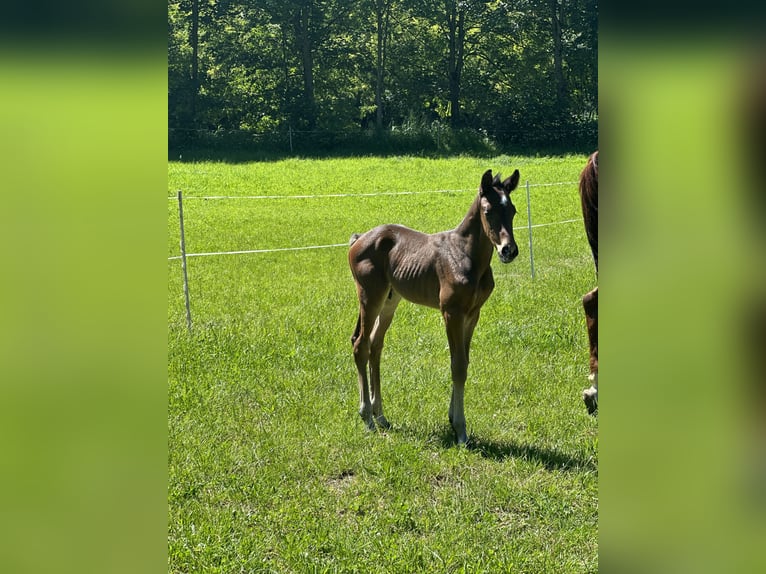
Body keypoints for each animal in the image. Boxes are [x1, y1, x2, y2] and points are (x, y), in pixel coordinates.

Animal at [348, 169, 520, 445]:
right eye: (487, 211)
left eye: (512, 210)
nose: (508, 250)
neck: (466, 256)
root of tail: (358, 239)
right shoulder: (451, 313)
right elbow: (457, 366)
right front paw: (460, 430)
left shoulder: (472, 314)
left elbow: (464, 362)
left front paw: (453, 419)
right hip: (369, 297)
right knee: (360, 345)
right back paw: (367, 417)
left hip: (389, 301)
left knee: (375, 345)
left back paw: (380, 415)